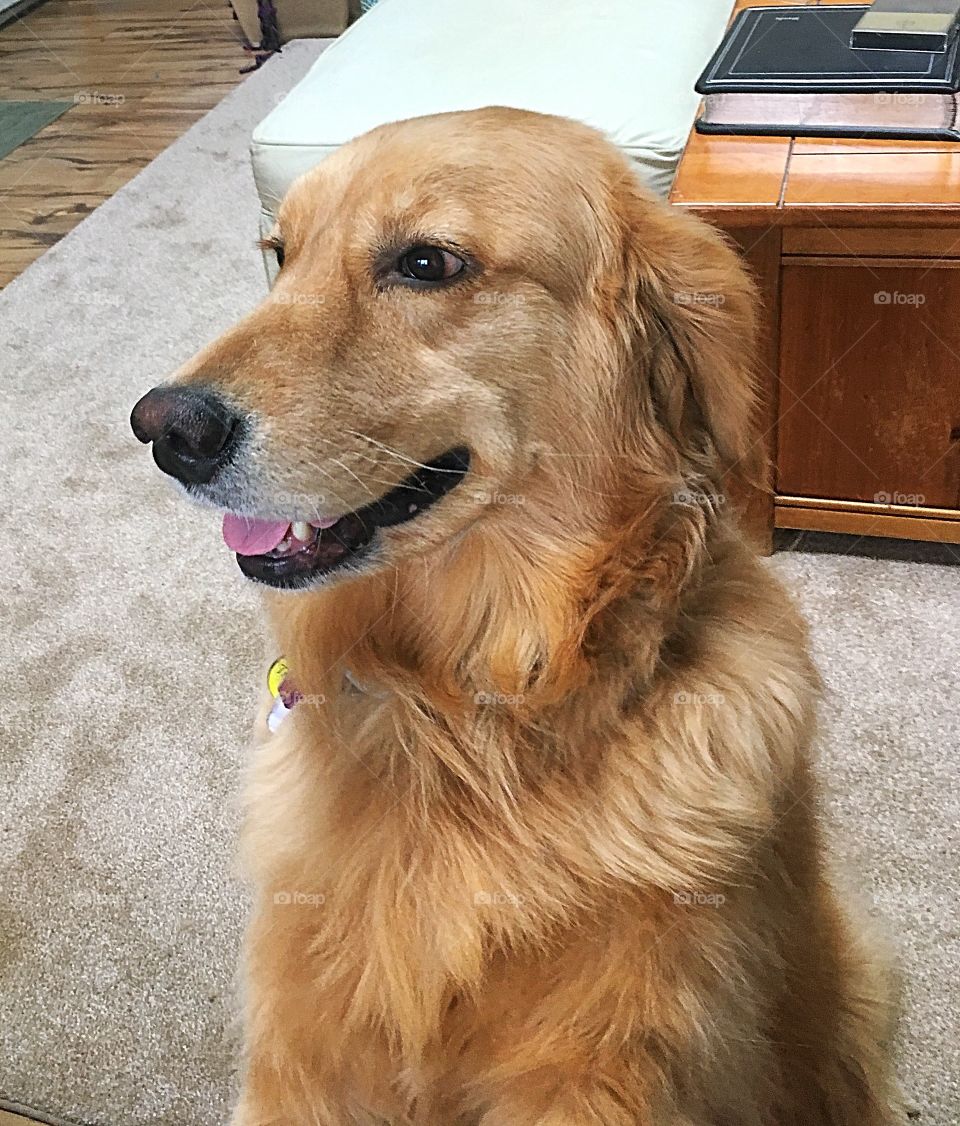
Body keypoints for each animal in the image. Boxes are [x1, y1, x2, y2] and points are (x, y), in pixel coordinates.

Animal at [131, 107, 904, 1126]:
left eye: (427, 263)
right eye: (282, 254)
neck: (467, 714)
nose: (162, 428)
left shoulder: (600, 1070)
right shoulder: (301, 1054)